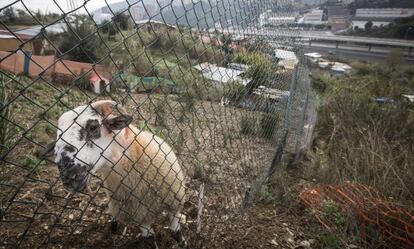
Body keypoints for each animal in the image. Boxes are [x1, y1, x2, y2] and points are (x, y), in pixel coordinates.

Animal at [49, 100, 188, 248]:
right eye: (58, 136)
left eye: (93, 127)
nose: (68, 176)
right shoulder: (140, 214)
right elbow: (150, 239)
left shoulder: (174, 203)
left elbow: (175, 232)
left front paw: (184, 243)